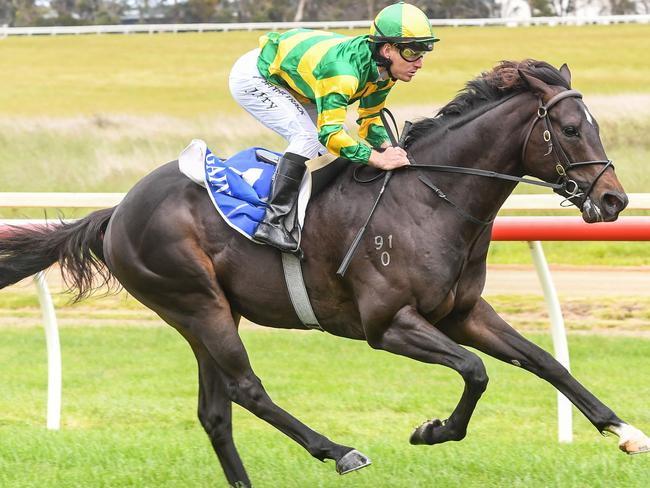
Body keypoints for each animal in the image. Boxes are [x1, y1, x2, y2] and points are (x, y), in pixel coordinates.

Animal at [0, 59, 644, 486]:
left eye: (594, 124)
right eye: (569, 129)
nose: (613, 199)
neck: (431, 200)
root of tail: (116, 212)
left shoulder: (463, 313)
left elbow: (544, 360)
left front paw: (623, 430)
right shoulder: (387, 324)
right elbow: (476, 371)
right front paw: (432, 430)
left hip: (206, 313)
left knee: (215, 412)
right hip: (197, 304)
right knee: (246, 389)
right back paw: (337, 450)